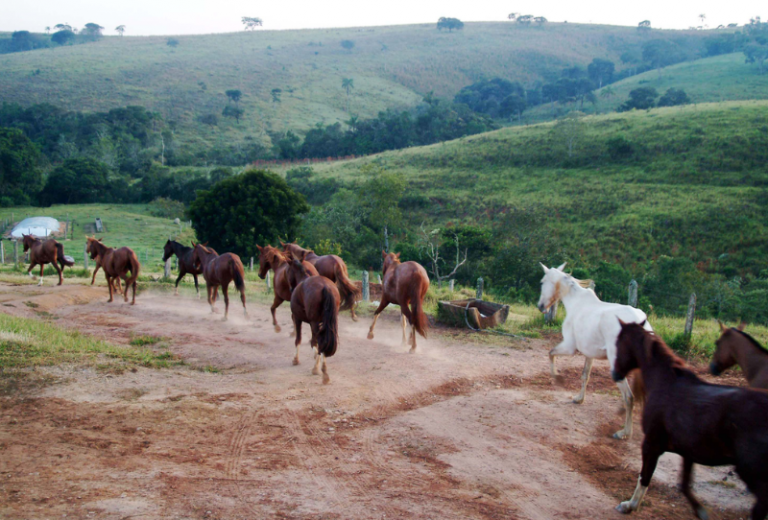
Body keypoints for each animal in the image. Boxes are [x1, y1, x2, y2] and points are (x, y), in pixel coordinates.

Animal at [288, 254, 342, 384]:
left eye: (287, 271)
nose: (290, 288)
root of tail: (326, 287)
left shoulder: (297, 318)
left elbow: (299, 339)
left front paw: (296, 359)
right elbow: (314, 341)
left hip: (314, 322)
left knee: (320, 341)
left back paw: (318, 369)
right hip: (331, 323)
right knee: (325, 341)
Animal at [536, 264, 652, 438]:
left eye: (542, 281)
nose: (541, 306)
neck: (576, 304)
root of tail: (640, 322)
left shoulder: (569, 347)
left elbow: (551, 353)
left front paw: (556, 379)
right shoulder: (590, 354)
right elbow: (585, 375)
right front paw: (579, 399)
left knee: (629, 397)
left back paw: (624, 433)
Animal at [616, 320, 768, 520]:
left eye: (618, 343)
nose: (615, 373)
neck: (665, 383)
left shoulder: (651, 444)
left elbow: (645, 476)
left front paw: (629, 505)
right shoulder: (688, 451)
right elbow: (684, 484)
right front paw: (700, 511)